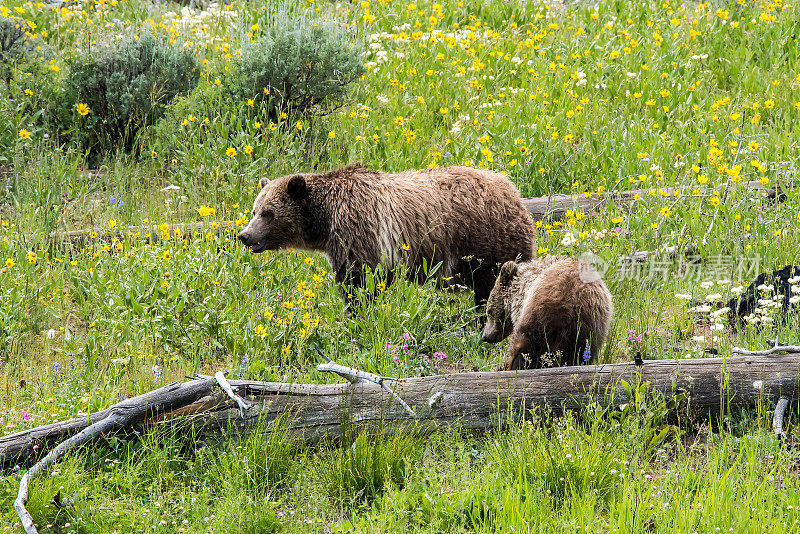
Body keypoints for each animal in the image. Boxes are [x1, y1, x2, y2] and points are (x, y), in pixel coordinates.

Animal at [238, 163, 536, 308]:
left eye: (268, 213)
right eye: (254, 210)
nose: (244, 235)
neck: (324, 219)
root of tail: (513, 192)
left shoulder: (357, 230)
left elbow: (357, 281)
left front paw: (357, 314)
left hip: (485, 239)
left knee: (490, 284)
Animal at [482, 258, 612, 370]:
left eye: (489, 311)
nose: (485, 336)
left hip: (540, 313)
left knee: (526, 345)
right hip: (589, 328)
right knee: (578, 354)